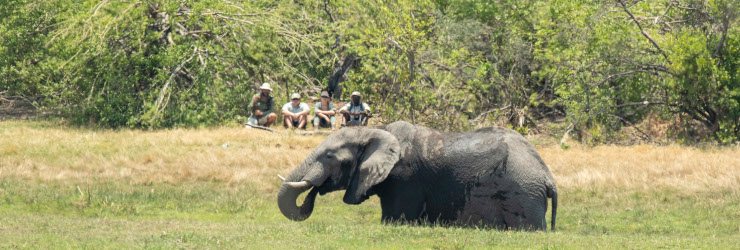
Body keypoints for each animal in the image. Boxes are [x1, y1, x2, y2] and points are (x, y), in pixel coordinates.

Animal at [280, 120, 556, 230]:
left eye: (329, 156)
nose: (314, 192)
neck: (376, 131)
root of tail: (547, 176)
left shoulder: (405, 179)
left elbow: (394, 220)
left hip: (522, 193)